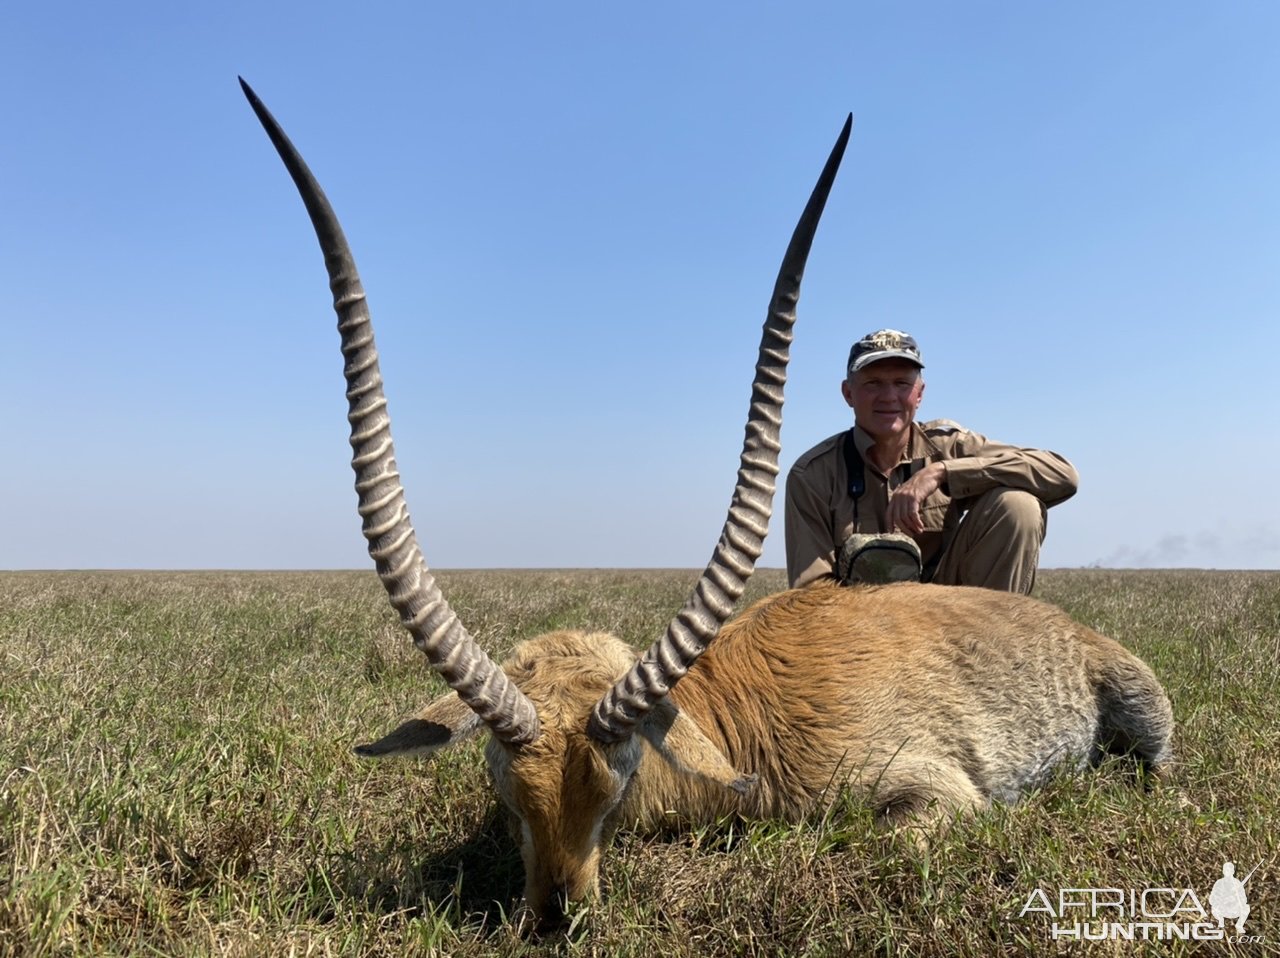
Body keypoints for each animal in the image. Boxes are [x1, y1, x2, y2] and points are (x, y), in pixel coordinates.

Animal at [240, 80, 1172, 922]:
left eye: (616, 786)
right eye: (505, 790)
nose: (556, 916)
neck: (735, 719)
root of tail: (1073, 630)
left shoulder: (931, 792)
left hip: (1145, 716)